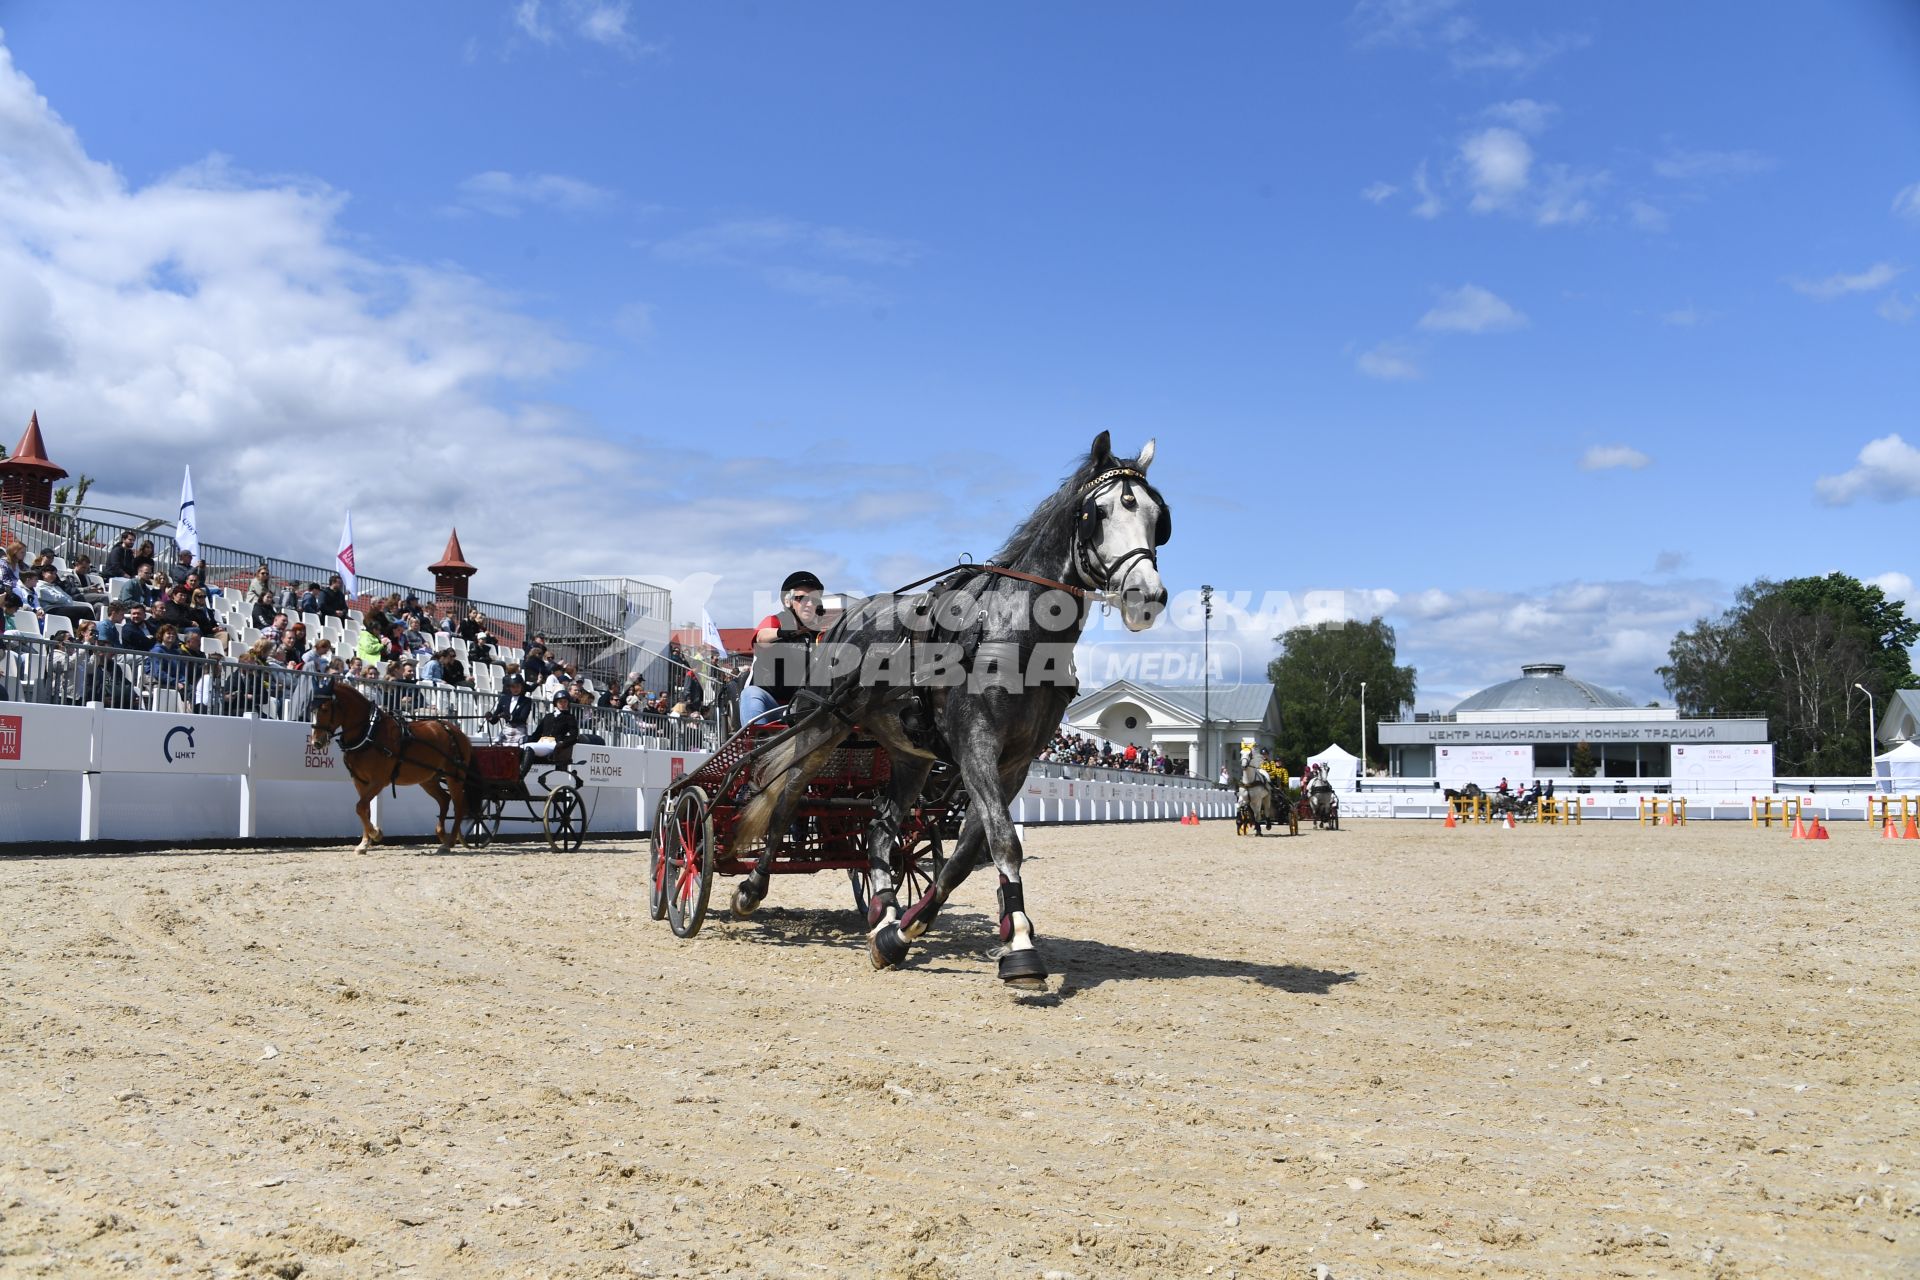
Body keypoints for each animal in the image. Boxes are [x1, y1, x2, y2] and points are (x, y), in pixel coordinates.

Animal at [307, 679, 476, 852]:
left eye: (325, 709)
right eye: (311, 709)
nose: (317, 742)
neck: (369, 733)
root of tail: (456, 730)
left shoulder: (378, 781)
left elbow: (360, 807)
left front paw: (375, 834)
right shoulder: (359, 781)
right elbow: (364, 809)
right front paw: (364, 843)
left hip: (454, 777)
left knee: (459, 806)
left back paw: (449, 842)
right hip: (429, 779)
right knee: (444, 800)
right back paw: (442, 835)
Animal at [721, 433, 1167, 990]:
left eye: (1157, 517)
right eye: (1099, 513)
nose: (1147, 597)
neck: (1013, 632)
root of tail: (842, 618)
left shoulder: (1013, 764)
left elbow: (966, 855)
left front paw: (899, 935)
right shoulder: (976, 745)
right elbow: (1005, 842)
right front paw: (1021, 948)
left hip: (909, 755)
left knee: (880, 827)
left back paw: (884, 907)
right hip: (822, 726)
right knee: (787, 796)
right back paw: (751, 889)